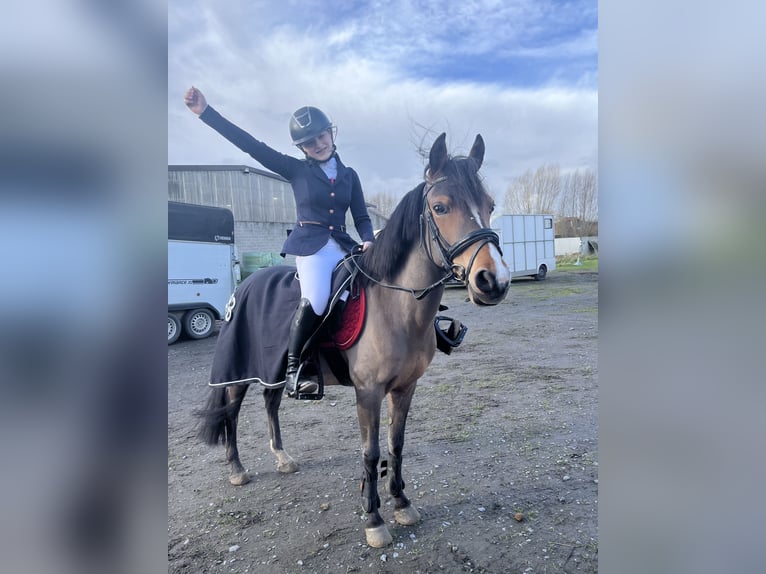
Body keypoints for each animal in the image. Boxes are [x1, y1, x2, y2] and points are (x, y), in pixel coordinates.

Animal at [196, 132, 511, 548]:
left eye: (489, 205)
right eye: (440, 207)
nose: (494, 281)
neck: (395, 307)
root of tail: (247, 282)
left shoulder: (405, 387)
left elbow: (395, 445)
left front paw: (401, 503)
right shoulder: (369, 391)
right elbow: (370, 452)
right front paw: (373, 519)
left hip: (273, 370)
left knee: (270, 403)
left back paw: (282, 458)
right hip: (237, 370)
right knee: (231, 412)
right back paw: (236, 468)